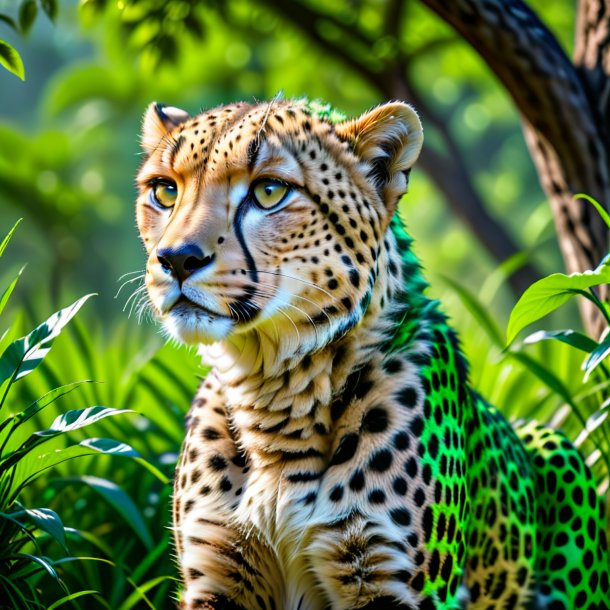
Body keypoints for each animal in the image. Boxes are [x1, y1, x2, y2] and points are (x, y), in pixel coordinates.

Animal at [135, 98, 604, 608]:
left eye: (269, 191)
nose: (176, 259)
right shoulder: (216, 578)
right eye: (164, 191)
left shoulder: (391, 581)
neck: (273, 395)